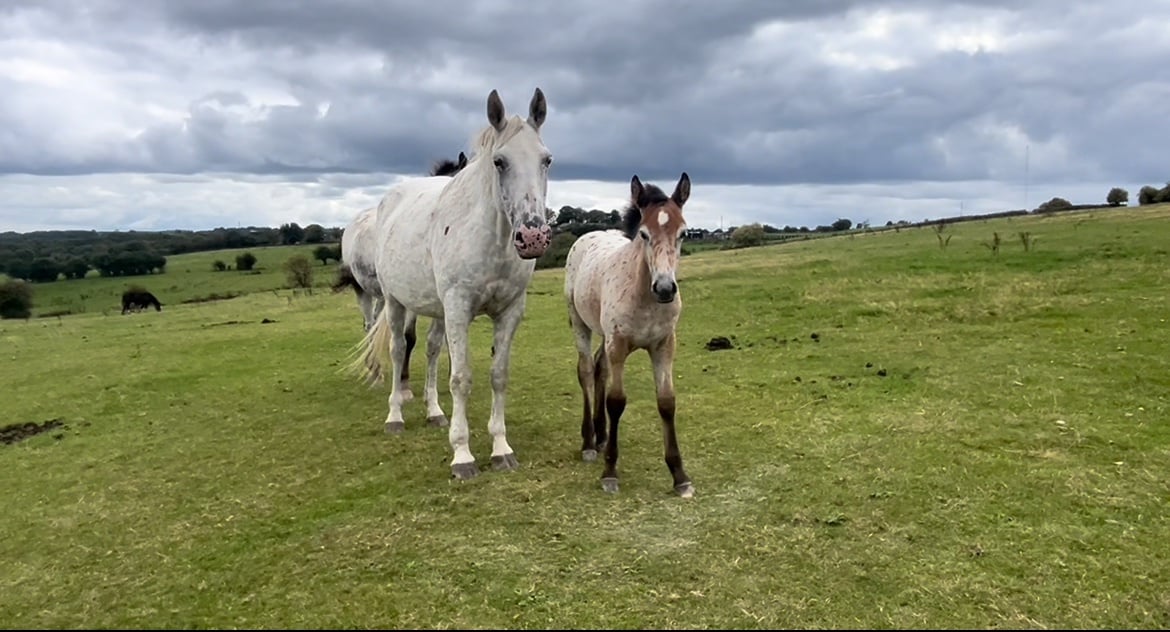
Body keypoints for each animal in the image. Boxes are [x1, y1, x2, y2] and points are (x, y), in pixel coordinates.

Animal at [334, 152, 467, 388]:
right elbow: (409, 337)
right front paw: (404, 380)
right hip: (363, 291)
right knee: (368, 326)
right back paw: (375, 371)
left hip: (383, 296)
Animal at [354, 87, 553, 480]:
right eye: (499, 162)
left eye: (546, 160)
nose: (533, 236)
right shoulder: (459, 309)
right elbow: (460, 378)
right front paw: (462, 455)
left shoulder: (510, 311)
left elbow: (498, 375)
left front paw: (501, 449)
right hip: (395, 301)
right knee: (399, 350)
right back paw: (395, 416)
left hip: (436, 310)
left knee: (431, 352)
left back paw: (434, 412)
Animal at [563, 172, 694, 497]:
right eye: (644, 234)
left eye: (683, 233)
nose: (665, 289)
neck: (644, 296)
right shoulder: (619, 345)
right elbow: (617, 401)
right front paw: (610, 472)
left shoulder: (664, 345)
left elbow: (666, 402)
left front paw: (680, 476)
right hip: (581, 323)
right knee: (587, 370)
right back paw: (589, 443)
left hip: (605, 336)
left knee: (600, 367)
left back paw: (600, 434)